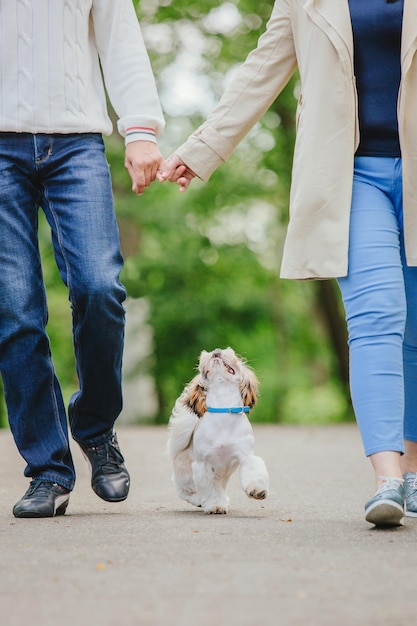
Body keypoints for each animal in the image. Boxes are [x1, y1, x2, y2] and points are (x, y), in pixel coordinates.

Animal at [167, 346, 270, 512]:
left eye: (232, 353)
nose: (216, 350)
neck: (223, 408)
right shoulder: (202, 466)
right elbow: (210, 488)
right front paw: (215, 505)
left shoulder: (246, 456)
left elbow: (253, 469)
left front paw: (257, 490)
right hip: (185, 475)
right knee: (186, 492)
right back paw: (198, 500)